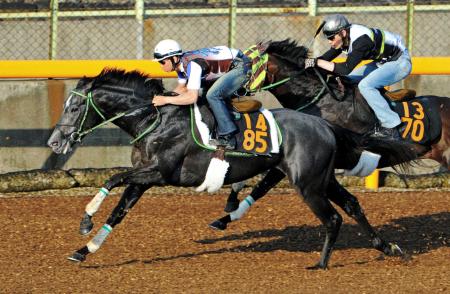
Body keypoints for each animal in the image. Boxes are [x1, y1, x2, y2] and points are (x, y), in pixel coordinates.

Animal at [48, 69, 414, 268]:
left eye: (75, 107)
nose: (54, 142)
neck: (154, 119)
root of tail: (325, 124)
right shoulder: (144, 178)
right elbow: (119, 212)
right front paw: (84, 249)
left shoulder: (160, 174)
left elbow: (112, 178)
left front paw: (85, 220)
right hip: (320, 178)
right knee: (351, 205)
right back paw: (387, 247)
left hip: (308, 184)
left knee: (333, 217)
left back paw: (321, 263)